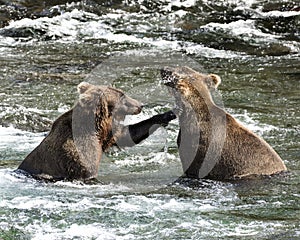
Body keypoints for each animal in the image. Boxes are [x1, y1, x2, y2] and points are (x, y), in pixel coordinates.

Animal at [17, 81, 176, 181]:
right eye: (122, 97)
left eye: (122, 92)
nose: (140, 105)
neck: (98, 129)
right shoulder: (79, 154)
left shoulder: (108, 134)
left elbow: (127, 134)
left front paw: (167, 114)